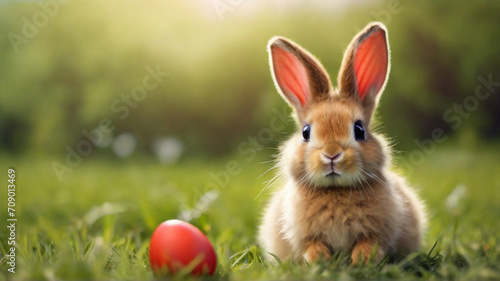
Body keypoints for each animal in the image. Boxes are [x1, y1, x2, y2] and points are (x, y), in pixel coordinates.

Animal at [258, 22, 426, 264]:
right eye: (306, 132)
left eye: (359, 130)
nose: (331, 154)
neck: (335, 190)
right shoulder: (307, 238)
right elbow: (313, 247)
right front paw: (320, 261)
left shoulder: (376, 234)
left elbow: (369, 244)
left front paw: (361, 261)